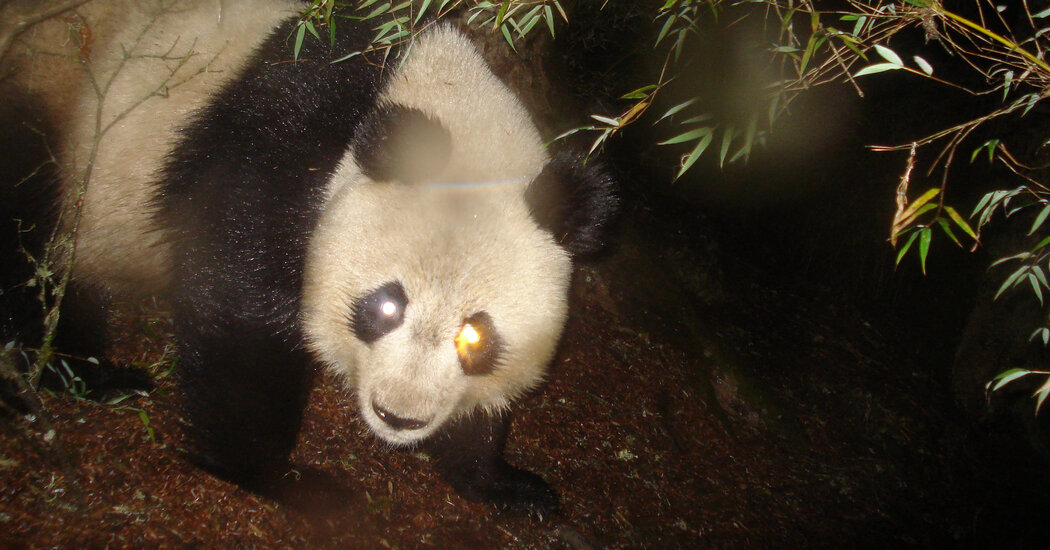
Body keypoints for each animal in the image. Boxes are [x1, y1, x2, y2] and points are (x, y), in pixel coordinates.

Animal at [0, 0, 613, 516]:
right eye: (385, 307)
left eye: (475, 336)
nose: (398, 416)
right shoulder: (284, 144)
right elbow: (239, 306)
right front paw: (282, 480)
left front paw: (505, 484)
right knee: (30, 244)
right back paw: (77, 375)